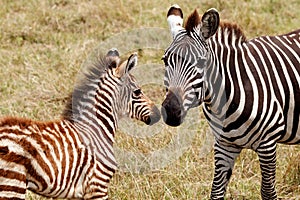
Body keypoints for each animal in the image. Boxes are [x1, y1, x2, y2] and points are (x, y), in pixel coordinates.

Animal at [162, 3, 300, 199]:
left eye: (201, 63)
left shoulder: (268, 144)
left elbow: (268, 191)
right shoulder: (224, 145)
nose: (171, 111)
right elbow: (216, 191)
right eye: (165, 60)